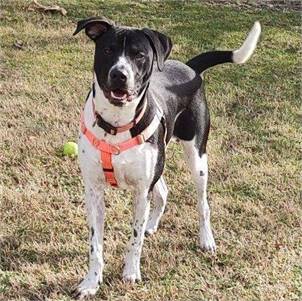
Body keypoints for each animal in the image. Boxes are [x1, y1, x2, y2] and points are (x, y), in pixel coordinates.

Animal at [71, 17, 260, 298]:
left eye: (139, 55)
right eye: (108, 50)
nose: (119, 74)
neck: (116, 123)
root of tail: (189, 68)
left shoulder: (141, 192)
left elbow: (135, 238)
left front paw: (130, 272)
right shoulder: (94, 190)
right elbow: (96, 245)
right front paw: (91, 282)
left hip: (197, 158)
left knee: (202, 204)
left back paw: (206, 240)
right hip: (159, 159)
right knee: (163, 190)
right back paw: (153, 224)